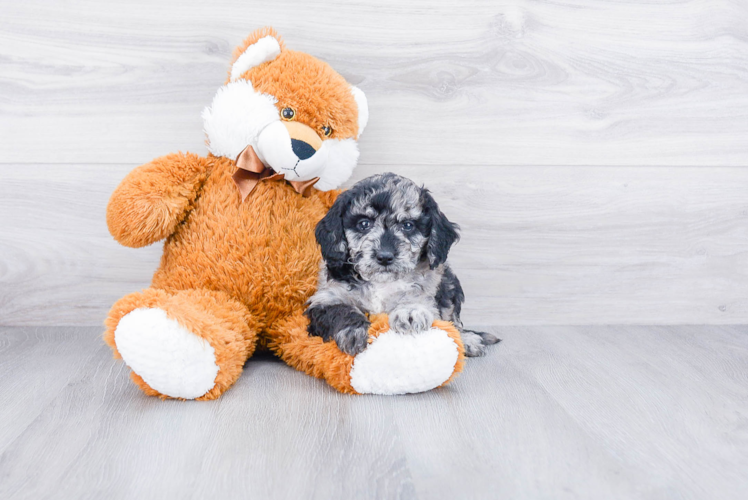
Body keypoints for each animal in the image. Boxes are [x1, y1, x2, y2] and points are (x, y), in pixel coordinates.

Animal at [304, 172, 502, 356]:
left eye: (408, 225)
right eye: (364, 224)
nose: (384, 256)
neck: (381, 284)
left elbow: (416, 299)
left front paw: (410, 312)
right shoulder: (326, 298)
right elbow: (341, 310)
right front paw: (355, 331)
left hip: (449, 282)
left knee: (454, 322)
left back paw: (468, 340)